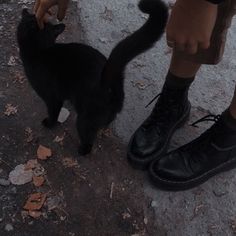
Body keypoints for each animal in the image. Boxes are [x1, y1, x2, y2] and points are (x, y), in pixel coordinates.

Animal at [17, 0, 168, 156]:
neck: (38, 51)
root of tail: (109, 83)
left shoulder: (52, 97)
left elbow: (53, 112)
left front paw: (49, 123)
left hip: (84, 119)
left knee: (88, 138)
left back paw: (82, 150)